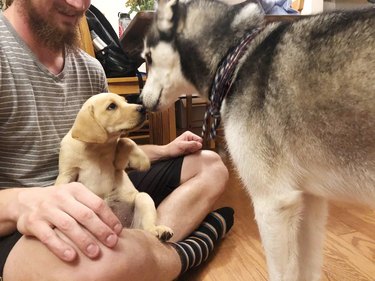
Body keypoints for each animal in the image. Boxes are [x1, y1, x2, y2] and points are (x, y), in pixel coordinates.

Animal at [55, 92, 175, 241]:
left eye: (125, 101)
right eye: (111, 106)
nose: (143, 108)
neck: (97, 149)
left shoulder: (119, 161)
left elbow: (125, 140)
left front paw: (140, 160)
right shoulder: (67, 173)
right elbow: (60, 186)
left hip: (143, 198)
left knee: (148, 227)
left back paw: (159, 230)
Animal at [141, 1, 375, 278]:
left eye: (147, 58)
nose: (140, 102)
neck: (233, 58)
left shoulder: (272, 204)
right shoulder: (311, 201)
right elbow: (308, 266)